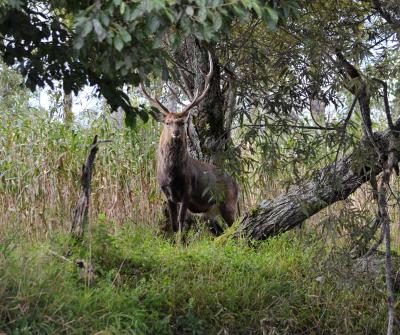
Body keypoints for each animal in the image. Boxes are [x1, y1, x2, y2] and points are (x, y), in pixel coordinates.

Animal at [141, 51, 238, 236]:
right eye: (167, 122)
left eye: (182, 122)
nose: (176, 133)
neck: (171, 174)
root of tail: (237, 185)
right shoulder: (167, 195)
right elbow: (173, 224)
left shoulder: (187, 190)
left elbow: (181, 221)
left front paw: (180, 242)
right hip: (210, 213)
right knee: (222, 231)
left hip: (229, 203)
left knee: (238, 226)